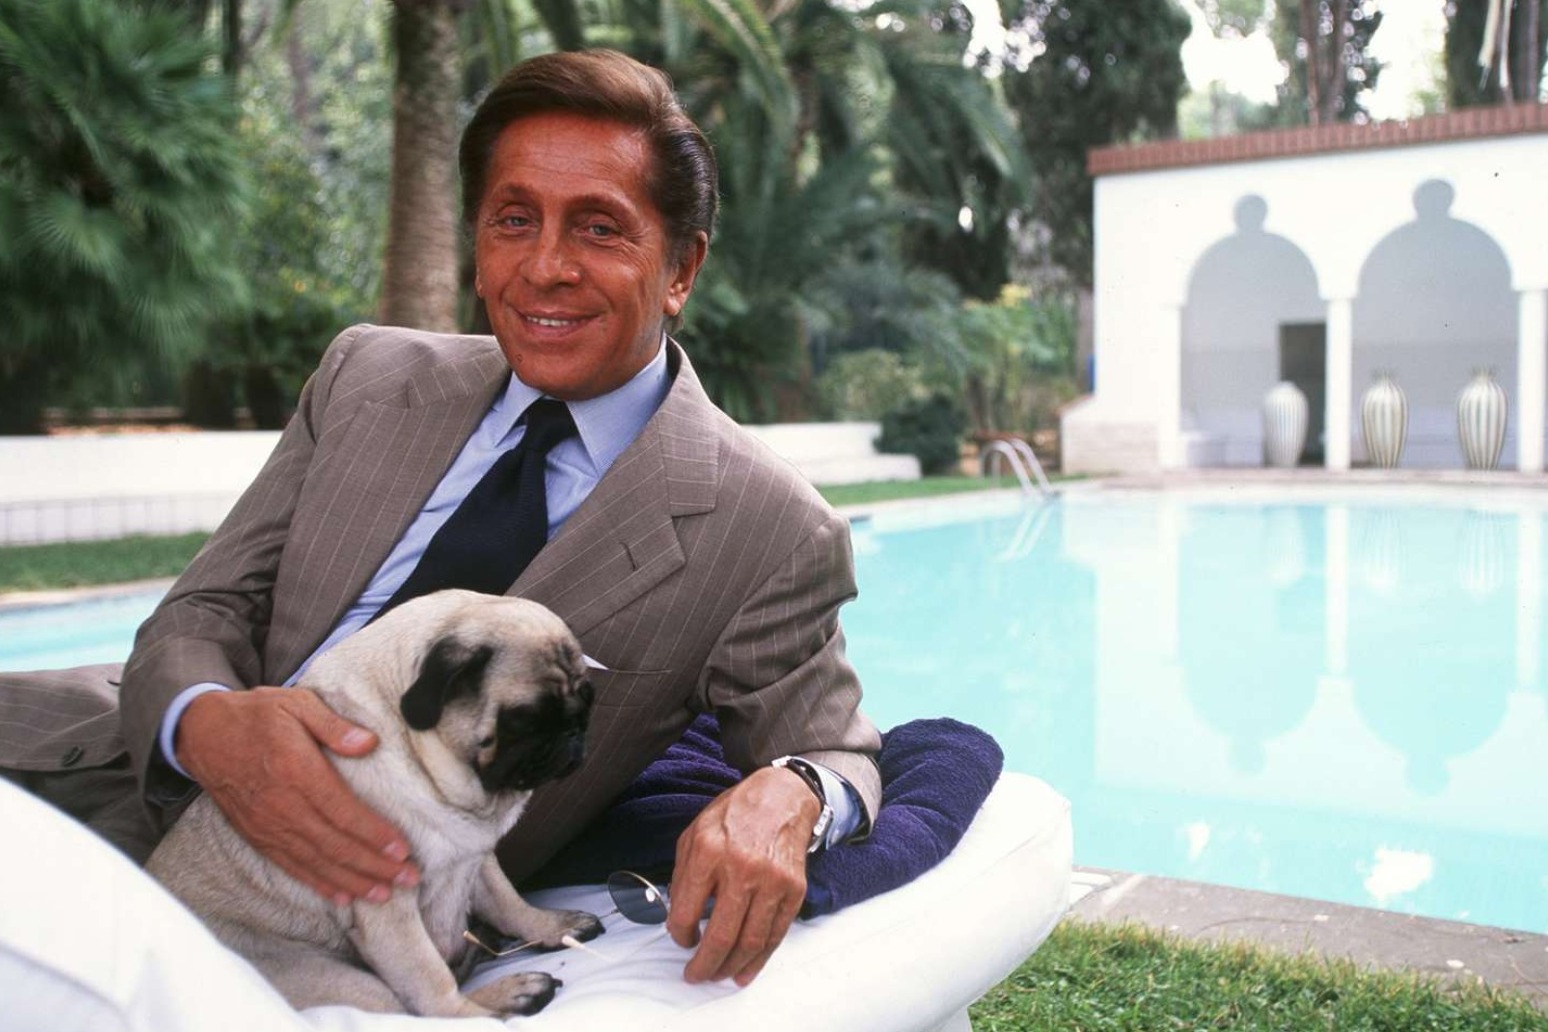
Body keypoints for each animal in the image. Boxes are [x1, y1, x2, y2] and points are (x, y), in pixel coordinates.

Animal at [146, 589, 602, 1018]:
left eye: (587, 699)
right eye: (526, 719)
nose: (574, 730)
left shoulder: (473, 854)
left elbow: (508, 901)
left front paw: (549, 926)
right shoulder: (385, 904)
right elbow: (429, 980)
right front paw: (471, 1010)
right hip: (336, 978)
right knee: (409, 1008)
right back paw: (507, 996)